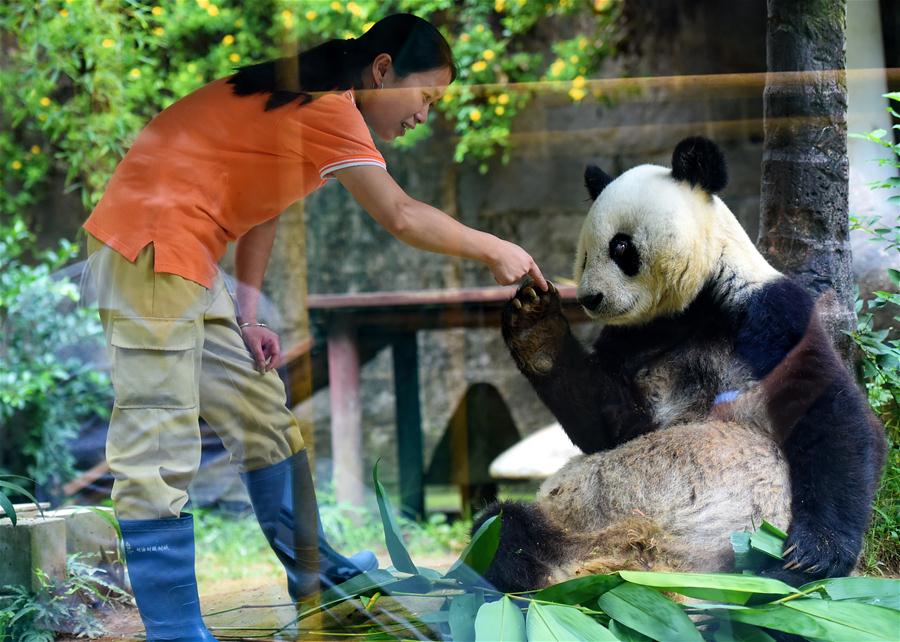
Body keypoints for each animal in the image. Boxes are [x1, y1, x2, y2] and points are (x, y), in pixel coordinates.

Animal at [478, 137, 886, 592]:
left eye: (620, 247)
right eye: (583, 256)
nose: (589, 299)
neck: (694, 306)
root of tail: (639, 563)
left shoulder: (770, 312)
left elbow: (829, 411)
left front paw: (816, 553)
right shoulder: (634, 338)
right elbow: (611, 428)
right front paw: (535, 324)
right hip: (569, 526)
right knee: (500, 528)